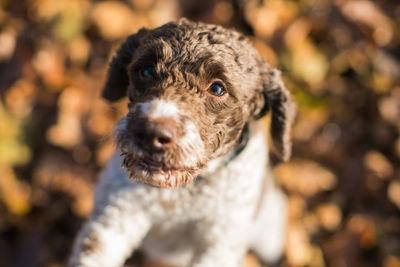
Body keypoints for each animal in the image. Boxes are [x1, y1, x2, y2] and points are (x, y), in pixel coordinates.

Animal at [68, 18, 294, 267]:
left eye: (218, 88)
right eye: (146, 70)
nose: (150, 133)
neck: (181, 193)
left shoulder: (221, 241)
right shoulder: (115, 214)